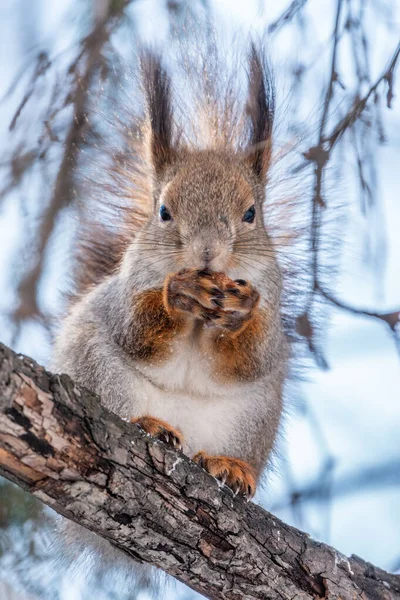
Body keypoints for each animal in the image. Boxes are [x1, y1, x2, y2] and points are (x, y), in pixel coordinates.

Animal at [53, 43, 290, 564]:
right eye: (163, 211)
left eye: (251, 214)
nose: (206, 252)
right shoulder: (124, 294)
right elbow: (137, 332)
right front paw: (177, 295)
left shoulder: (272, 307)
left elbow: (248, 356)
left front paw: (238, 314)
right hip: (98, 369)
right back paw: (150, 425)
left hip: (256, 414)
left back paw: (229, 466)